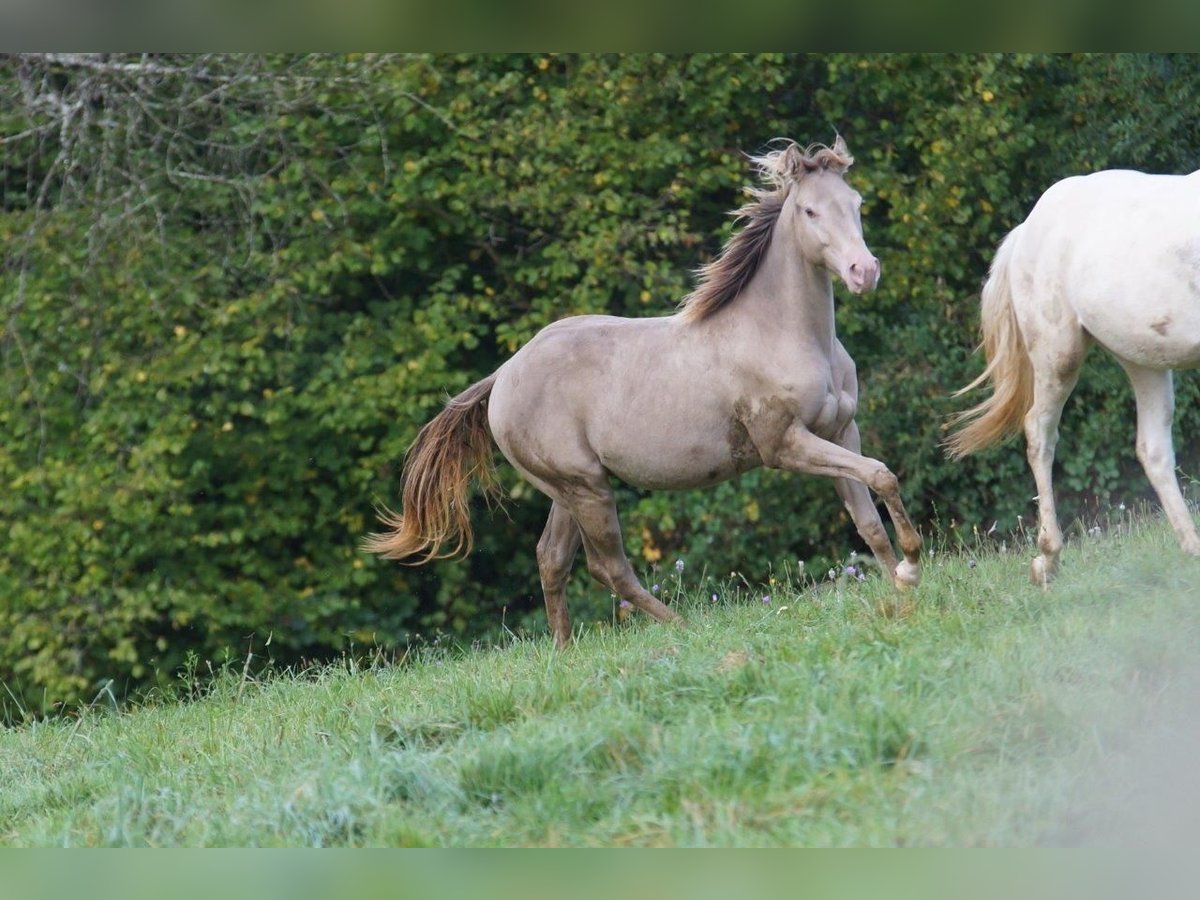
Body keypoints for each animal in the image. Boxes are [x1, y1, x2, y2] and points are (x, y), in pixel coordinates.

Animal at [369, 137, 921, 643]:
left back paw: (565, 652)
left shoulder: (841, 431)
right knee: (607, 568)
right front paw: (912, 566)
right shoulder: (785, 445)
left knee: (551, 559)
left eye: (856, 203)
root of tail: (503, 374)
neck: (783, 334)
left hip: (570, 490)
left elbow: (870, 513)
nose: (863, 272)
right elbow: (882, 474)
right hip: (587, 489)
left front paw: (898, 586)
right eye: (810, 210)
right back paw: (685, 628)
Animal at [945, 170, 1200, 588]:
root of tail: (1025, 230)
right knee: (1039, 432)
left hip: (1142, 359)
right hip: (1058, 357)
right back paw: (1047, 560)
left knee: (1153, 449)